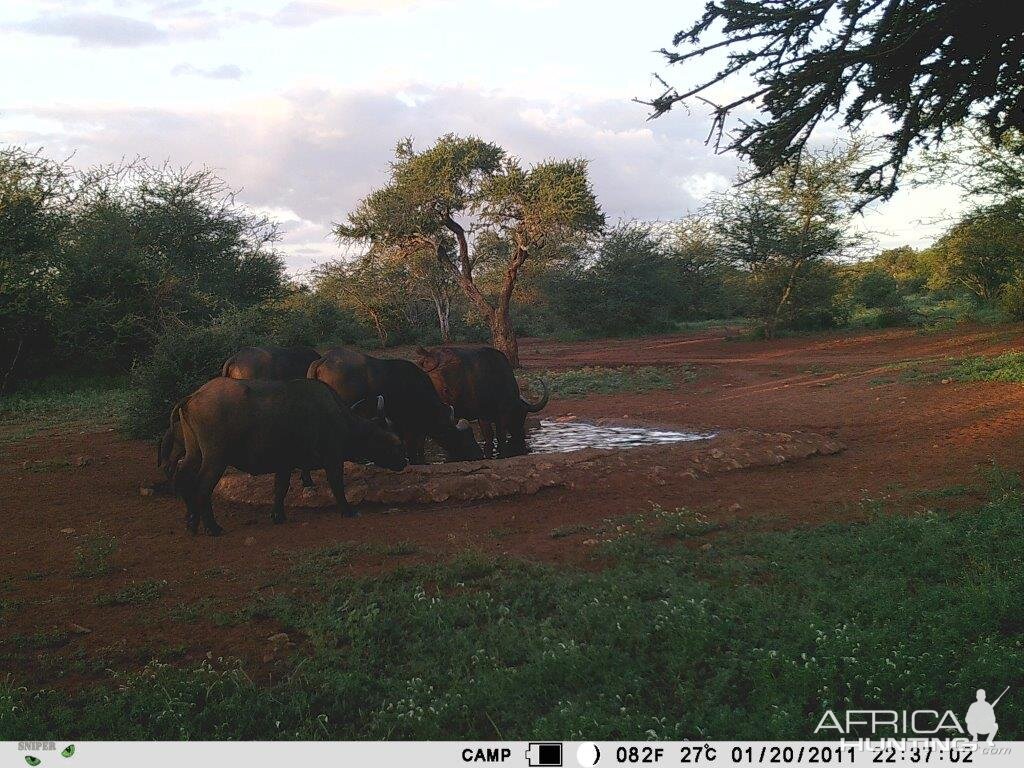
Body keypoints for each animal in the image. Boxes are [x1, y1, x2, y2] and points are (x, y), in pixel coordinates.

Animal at [169, 378, 405, 536]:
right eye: (395, 442)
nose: (405, 461)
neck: (342, 421)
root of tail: (193, 396)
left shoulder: (284, 464)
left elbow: (279, 489)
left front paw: (278, 516)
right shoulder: (333, 459)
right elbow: (337, 485)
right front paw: (347, 510)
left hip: (194, 454)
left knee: (182, 477)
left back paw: (192, 521)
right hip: (216, 459)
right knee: (201, 487)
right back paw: (212, 527)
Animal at [413, 348, 548, 456]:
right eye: (522, 414)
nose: (521, 434)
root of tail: (430, 358)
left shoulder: (483, 416)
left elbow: (488, 437)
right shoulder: (502, 414)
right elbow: (500, 436)